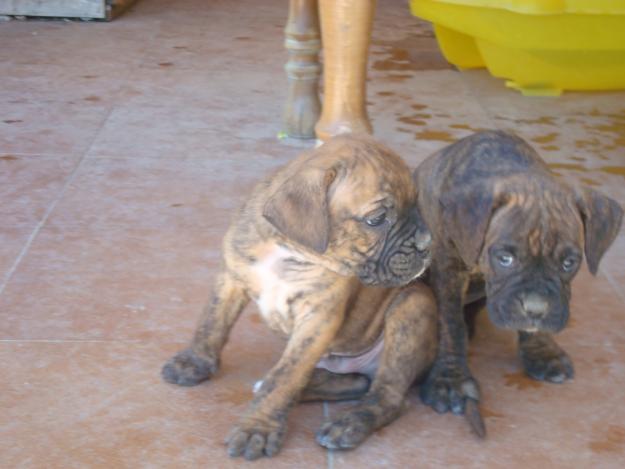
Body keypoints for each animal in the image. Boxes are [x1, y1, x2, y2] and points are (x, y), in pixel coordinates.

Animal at [161, 134, 434, 458]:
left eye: (416, 203)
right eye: (377, 219)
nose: (428, 244)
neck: (287, 250)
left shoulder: (317, 318)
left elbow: (285, 377)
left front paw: (257, 427)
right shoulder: (231, 276)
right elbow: (212, 322)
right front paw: (195, 362)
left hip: (412, 306)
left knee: (387, 397)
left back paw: (347, 424)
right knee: (352, 382)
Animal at [412, 129, 620, 436]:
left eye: (569, 263)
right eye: (505, 258)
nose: (535, 309)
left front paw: (542, 352)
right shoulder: (447, 269)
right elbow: (450, 324)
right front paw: (451, 381)